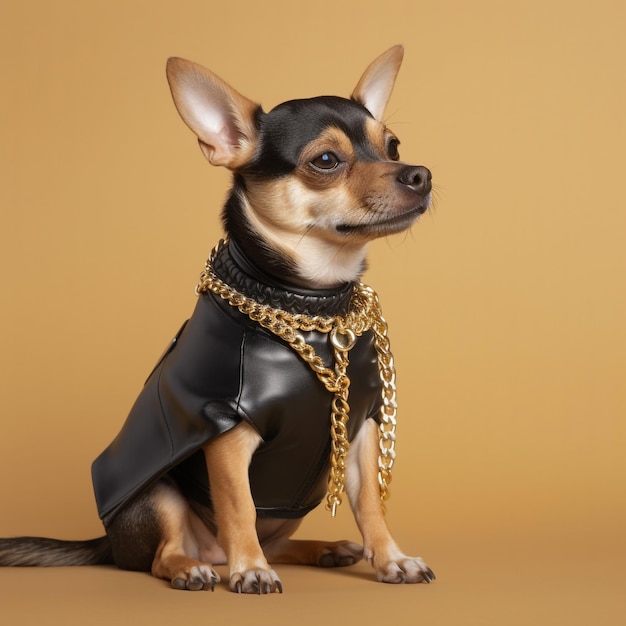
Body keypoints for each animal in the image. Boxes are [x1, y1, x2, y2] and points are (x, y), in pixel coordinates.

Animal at [1, 44, 434, 588]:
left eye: (393, 147)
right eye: (326, 161)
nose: (420, 174)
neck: (311, 304)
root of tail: (109, 542)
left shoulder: (361, 430)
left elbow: (371, 505)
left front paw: (392, 557)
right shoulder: (227, 433)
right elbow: (237, 506)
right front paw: (251, 570)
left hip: (287, 513)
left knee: (277, 543)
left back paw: (324, 549)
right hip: (160, 493)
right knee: (165, 555)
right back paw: (199, 568)